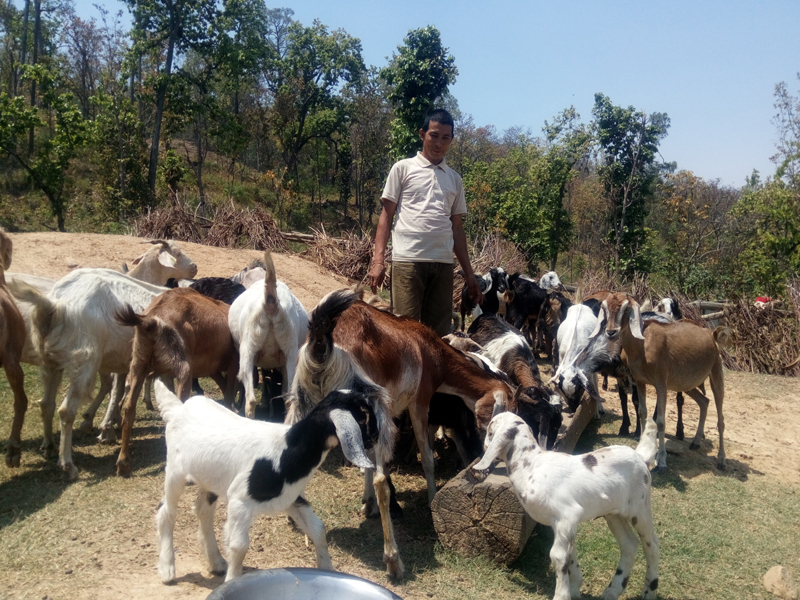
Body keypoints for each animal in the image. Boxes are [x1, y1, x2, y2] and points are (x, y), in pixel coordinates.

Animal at [115, 288, 241, 476]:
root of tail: (151, 321)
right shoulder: (233, 360)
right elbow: (228, 393)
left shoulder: (210, 368)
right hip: (182, 364)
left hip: (139, 361)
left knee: (129, 408)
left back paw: (123, 463)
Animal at [156, 382, 382, 584]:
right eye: (363, 415)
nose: (377, 436)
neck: (287, 450)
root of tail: (179, 409)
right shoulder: (240, 501)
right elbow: (239, 546)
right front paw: (232, 579)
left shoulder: (292, 497)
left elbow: (318, 529)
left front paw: (327, 570)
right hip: (175, 471)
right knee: (166, 513)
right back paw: (167, 569)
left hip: (209, 478)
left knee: (203, 510)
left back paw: (217, 563)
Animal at [472, 414, 660, 600]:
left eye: (490, 431)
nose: (483, 446)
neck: (531, 467)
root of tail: (640, 457)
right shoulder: (564, 524)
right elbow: (570, 554)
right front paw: (575, 589)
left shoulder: (566, 516)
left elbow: (558, 556)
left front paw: (562, 595)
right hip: (613, 514)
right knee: (630, 544)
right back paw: (612, 592)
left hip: (640, 508)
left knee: (651, 543)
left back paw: (649, 591)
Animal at [588, 292, 732, 472]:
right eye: (605, 308)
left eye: (626, 309)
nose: (611, 332)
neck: (643, 345)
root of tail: (711, 335)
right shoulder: (640, 381)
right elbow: (642, 413)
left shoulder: (661, 384)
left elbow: (661, 421)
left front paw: (661, 460)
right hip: (686, 383)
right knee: (704, 401)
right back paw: (696, 442)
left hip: (716, 372)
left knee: (720, 419)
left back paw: (721, 460)